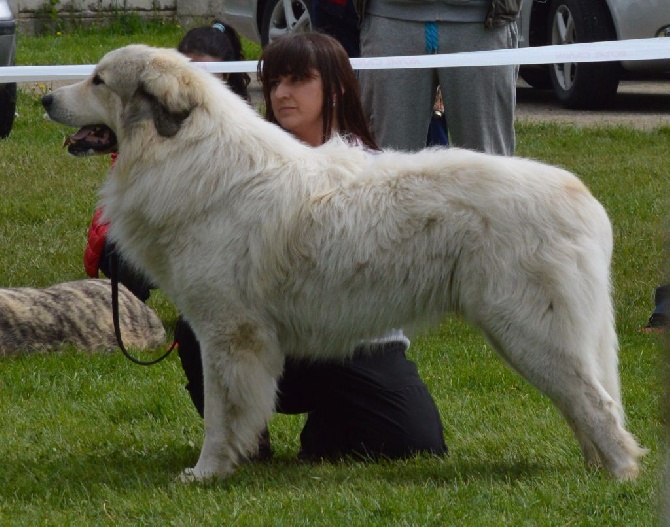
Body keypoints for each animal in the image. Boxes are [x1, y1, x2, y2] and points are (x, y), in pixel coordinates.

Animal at [43, 44, 644, 482]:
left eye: (98, 81)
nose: (46, 97)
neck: (184, 154)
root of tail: (581, 195)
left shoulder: (228, 333)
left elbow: (220, 414)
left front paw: (206, 474)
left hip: (530, 331)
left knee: (597, 405)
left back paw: (619, 478)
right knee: (583, 403)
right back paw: (595, 469)